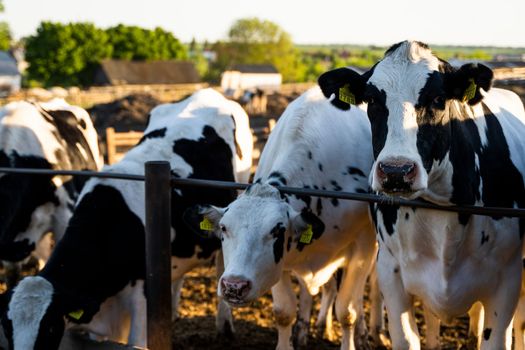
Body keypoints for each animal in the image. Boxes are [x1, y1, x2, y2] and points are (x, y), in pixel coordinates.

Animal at [186, 85, 378, 350]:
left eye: (277, 230)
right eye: (223, 228)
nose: (234, 286)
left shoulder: (363, 247)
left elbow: (347, 311)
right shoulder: (280, 263)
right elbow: (284, 311)